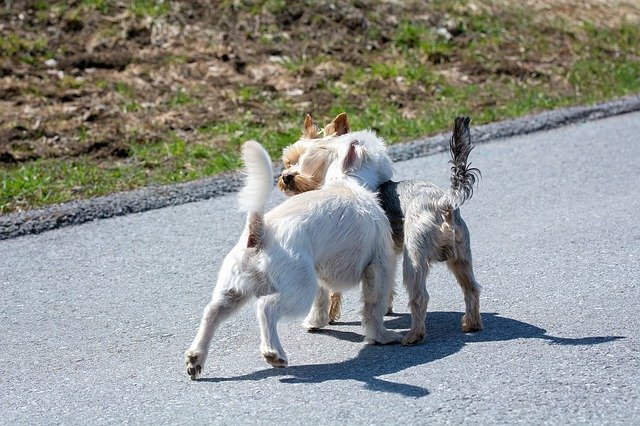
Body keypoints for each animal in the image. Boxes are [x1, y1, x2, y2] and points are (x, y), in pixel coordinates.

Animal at [184, 138, 400, 378]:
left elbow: (322, 300)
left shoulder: (320, 272)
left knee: (212, 312)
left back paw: (196, 358)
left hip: (234, 290)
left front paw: (316, 322)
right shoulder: (379, 266)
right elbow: (374, 306)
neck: (346, 182)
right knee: (266, 308)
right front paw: (381, 336)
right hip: (299, 291)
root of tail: (259, 232)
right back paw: (273, 353)